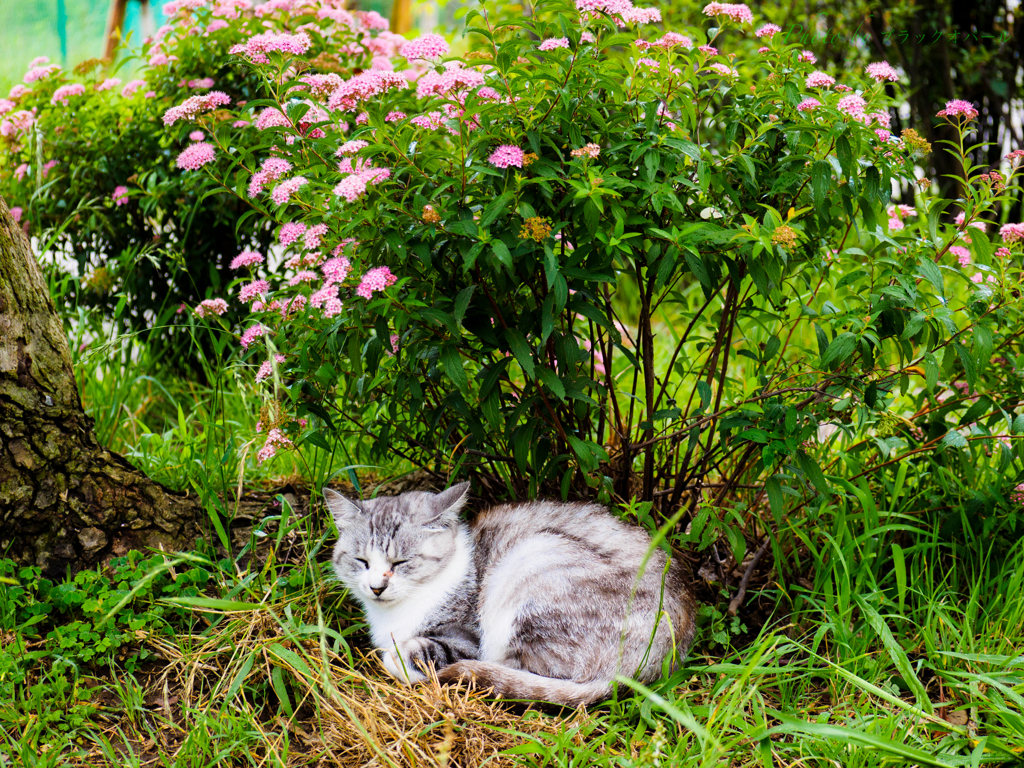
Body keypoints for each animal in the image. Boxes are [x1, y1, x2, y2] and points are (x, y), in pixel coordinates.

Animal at [327, 483, 696, 708]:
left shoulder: (466, 636)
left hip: (533, 563)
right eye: (361, 562)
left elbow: (423, 650)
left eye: (400, 563)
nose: (377, 586)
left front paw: (400, 658)